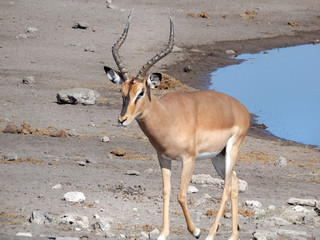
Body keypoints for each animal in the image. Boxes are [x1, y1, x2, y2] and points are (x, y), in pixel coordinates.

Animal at [105, 10, 250, 239]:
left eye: (141, 92)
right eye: (122, 92)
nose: (122, 120)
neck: (168, 117)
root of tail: (242, 109)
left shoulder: (188, 159)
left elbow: (181, 194)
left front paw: (196, 231)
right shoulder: (163, 157)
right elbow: (166, 191)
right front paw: (164, 233)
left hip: (232, 150)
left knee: (226, 186)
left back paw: (210, 234)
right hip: (218, 156)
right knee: (234, 182)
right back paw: (232, 236)